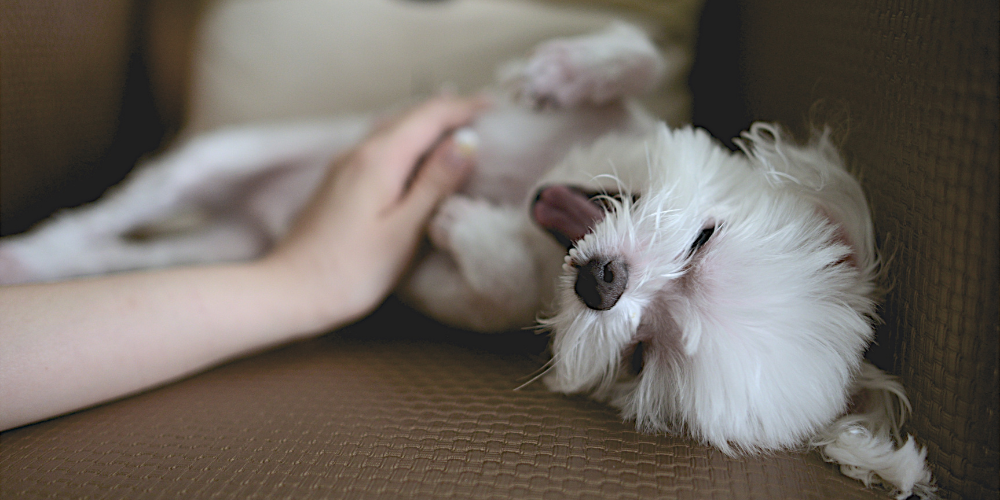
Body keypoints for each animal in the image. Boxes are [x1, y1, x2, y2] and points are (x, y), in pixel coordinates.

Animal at [1, 22, 936, 496]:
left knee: (125, 253)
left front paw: (465, 224)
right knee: (129, 206)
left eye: (642, 355)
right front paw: (567, 71)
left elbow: (488, 284)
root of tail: (253, 217)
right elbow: (635, 52)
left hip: (227, 248)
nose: (603, 282)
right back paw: (31, 249)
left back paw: (37, 264)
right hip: (220, 158)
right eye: (705, 242)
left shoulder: (463, 291)